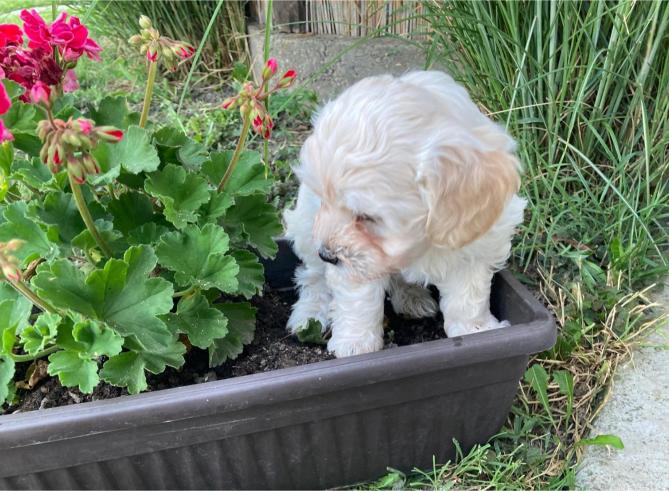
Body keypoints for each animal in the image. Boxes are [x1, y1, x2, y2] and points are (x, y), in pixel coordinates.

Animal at [280, 71, 520, 358]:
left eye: (367, 217)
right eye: (324, 201)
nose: (327, 255)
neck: (420, 241)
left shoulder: (477, 240)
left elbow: (468, 295)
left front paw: (476, 329)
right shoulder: (354, 258)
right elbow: (357, 298)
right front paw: (355, 343)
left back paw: (411, 296)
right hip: (306, 229)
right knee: (312, 276)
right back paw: (310, 313)